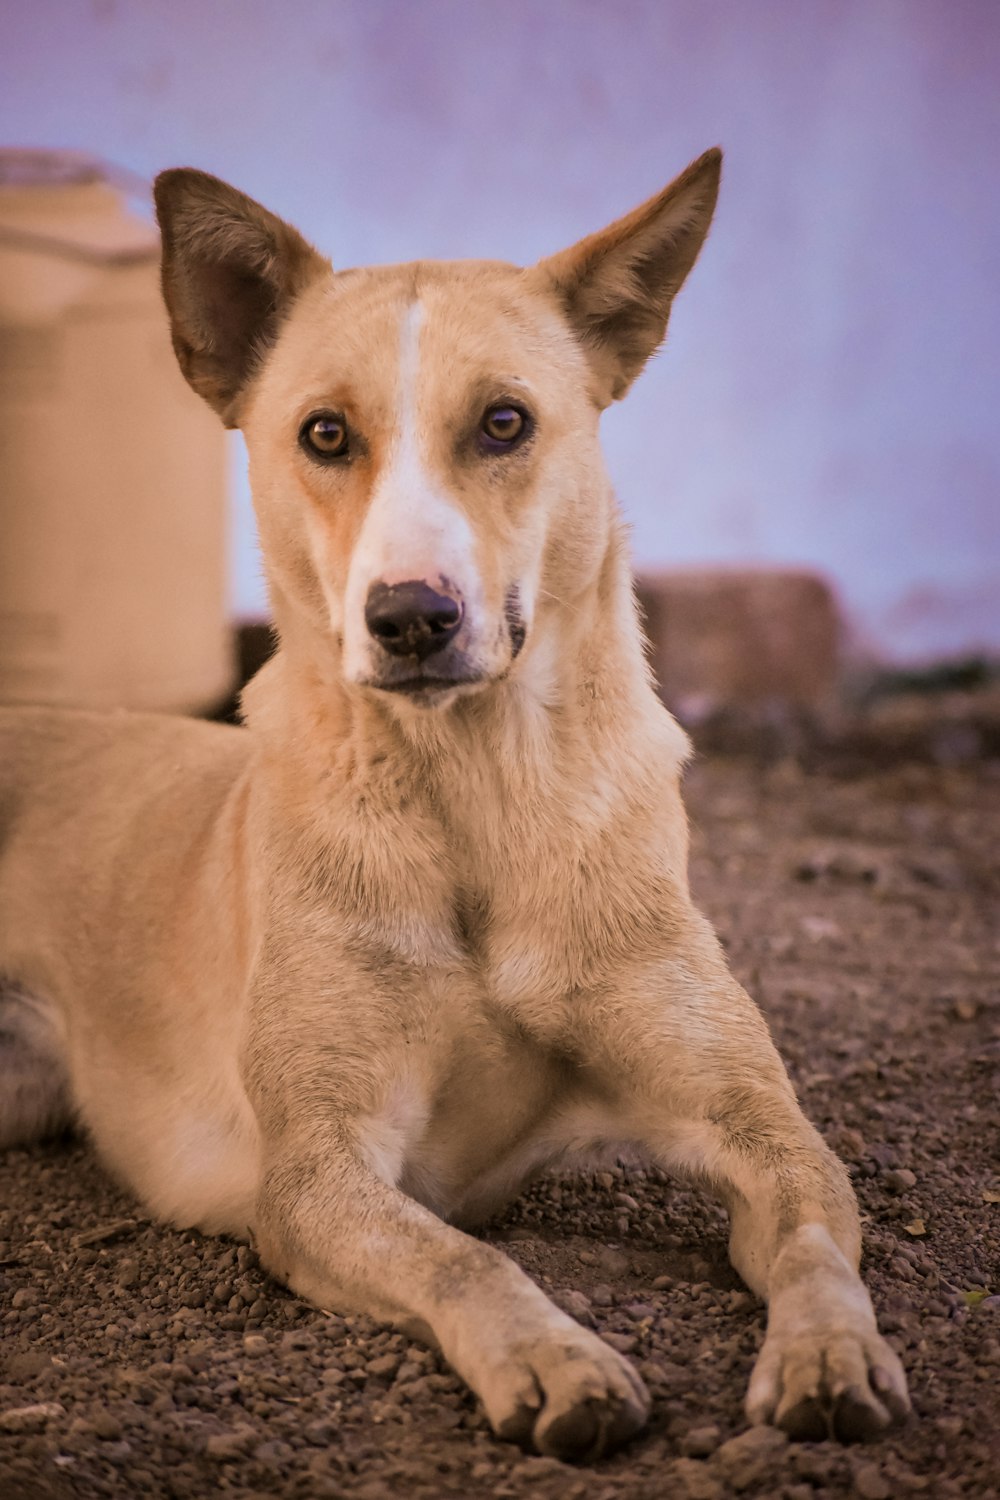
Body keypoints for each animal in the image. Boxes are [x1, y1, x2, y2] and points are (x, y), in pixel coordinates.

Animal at [0, 146, 905, 1458]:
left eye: (505, 422)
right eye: (324, 433)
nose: (411, 617)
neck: (474, 795)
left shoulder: (754, 1119)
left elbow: (810, 1234)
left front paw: (830, 1352)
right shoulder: (318, 1174)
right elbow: (462, 1259)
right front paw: (555, 1361)